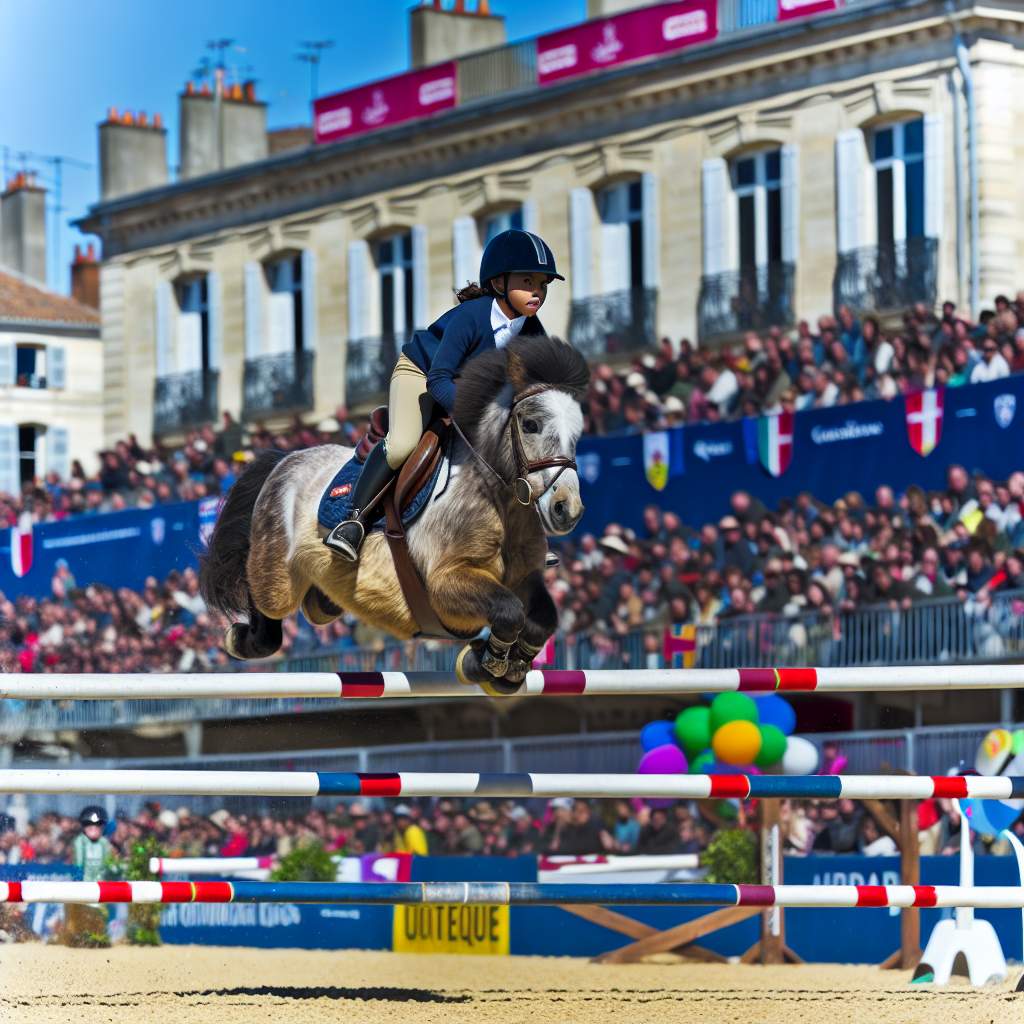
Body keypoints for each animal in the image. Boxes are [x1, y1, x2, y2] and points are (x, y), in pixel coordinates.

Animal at [199, 335, 589, 696]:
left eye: (578, 432)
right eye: (531, 424)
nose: (566, 509)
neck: (500, 502)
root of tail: (285, 458)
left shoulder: (526, 578)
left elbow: (540, 618)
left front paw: (509, 670)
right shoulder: (445, 583)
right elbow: (509, 610)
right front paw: (483, 663)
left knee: (316, 606)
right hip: (276, 572)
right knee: (267, 608)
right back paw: (240, 638)